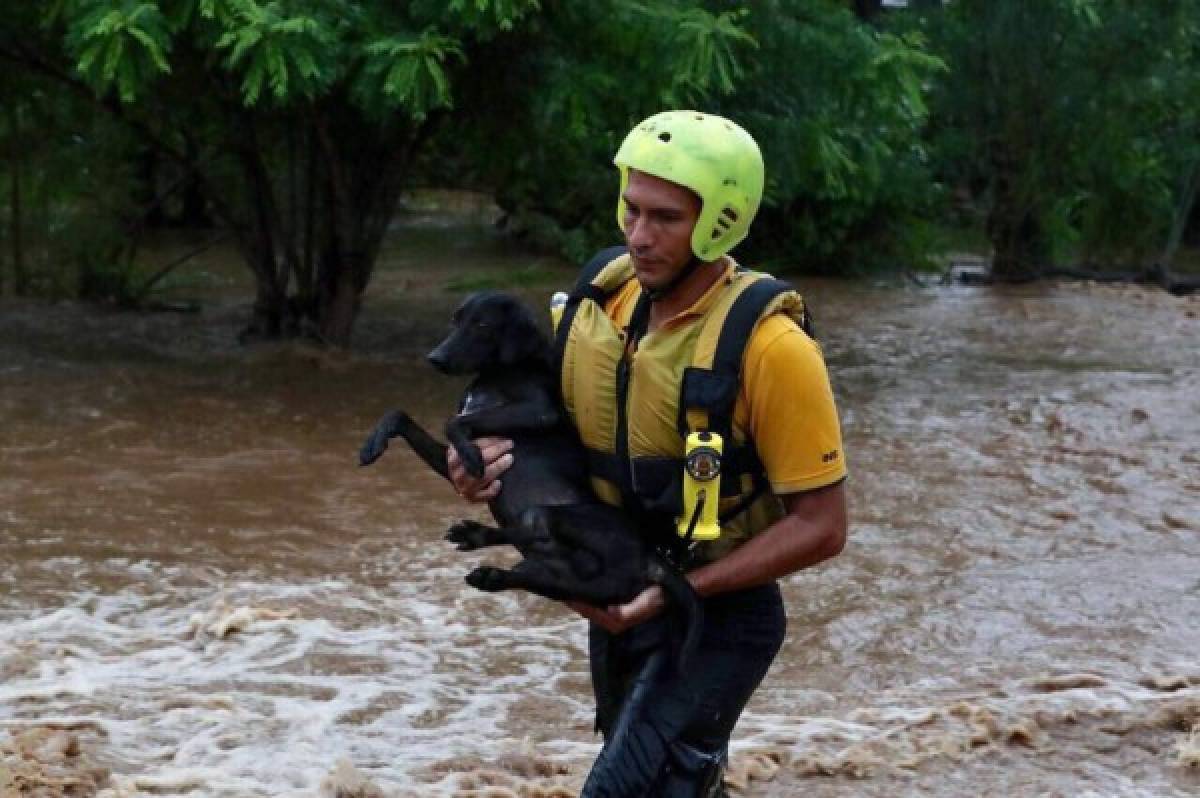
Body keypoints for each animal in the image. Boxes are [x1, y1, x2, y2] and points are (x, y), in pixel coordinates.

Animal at [355, 292, 700, 667]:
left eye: (482, 324)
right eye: (455, 320)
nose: (435, 358)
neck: (498, 373)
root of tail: (651, 558)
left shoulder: (539, 411)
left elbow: (455, 422)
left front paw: (472, 455)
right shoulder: (448, 462)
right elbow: (399, 415)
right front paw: (372, 445)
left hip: (559, 518)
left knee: (534, 527)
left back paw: (474, 535)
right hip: (576, 583)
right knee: (544, 573)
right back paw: (491, 573)